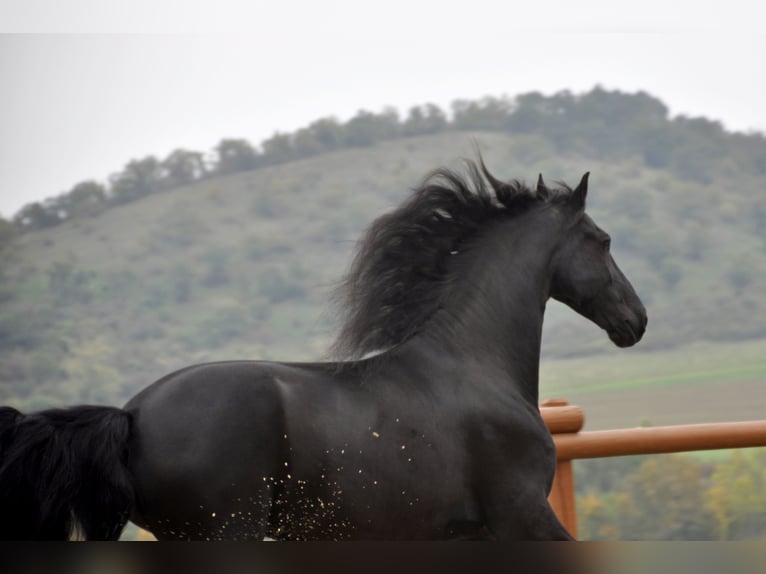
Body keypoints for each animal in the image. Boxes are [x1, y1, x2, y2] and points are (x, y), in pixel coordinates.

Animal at [0, 159, 646, 541]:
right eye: (602, 240)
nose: (637, 320)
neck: (473, 367)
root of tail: (132, 416)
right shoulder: (522, 515)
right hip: (225, 536)